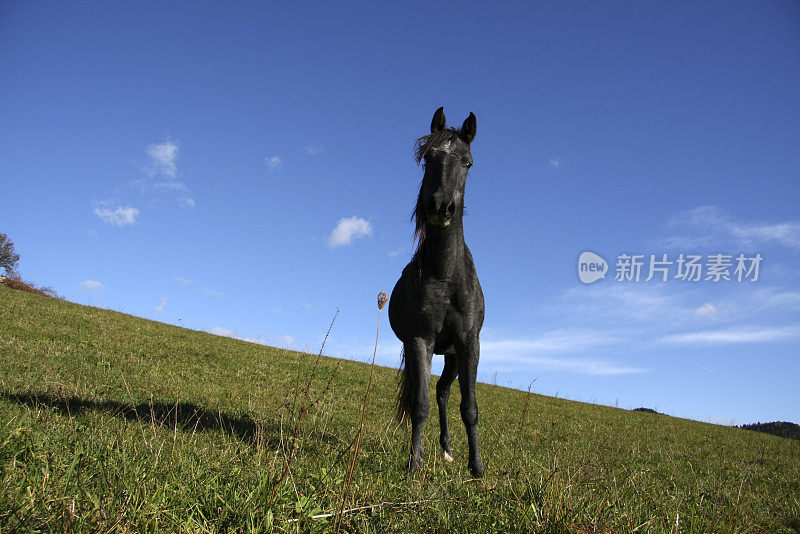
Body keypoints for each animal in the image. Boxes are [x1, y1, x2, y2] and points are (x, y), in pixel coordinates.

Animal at [390, 107, 484, 480]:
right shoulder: (420, 339)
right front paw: (413, 465)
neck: (445, 274)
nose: (440, 207)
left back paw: (447, 450)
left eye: (467, 162)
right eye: (428, 157)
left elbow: (469, 407)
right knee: (431, 393)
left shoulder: (468, 341)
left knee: (445, 393)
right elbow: (419, 404)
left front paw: (477, 469)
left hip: (454, 354)